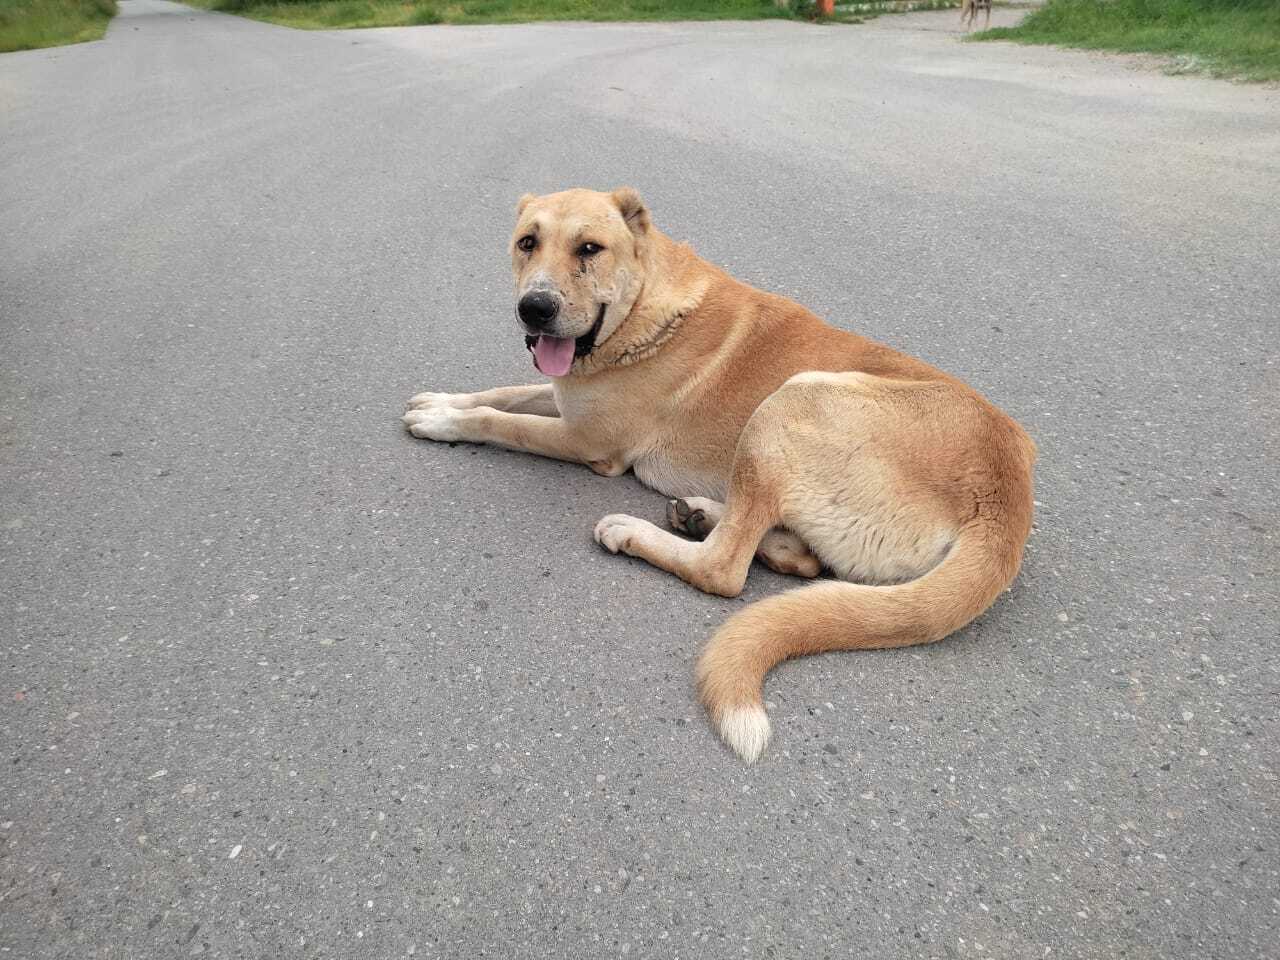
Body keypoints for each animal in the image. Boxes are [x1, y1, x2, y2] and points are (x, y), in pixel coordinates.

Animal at [404, 188, 1034, 762]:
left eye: (589, 249)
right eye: (527, 243)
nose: (534, 308)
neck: (644, 309)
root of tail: (1007, 496)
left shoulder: (586, 440)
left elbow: (499, 420)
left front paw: (444, 422)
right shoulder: (566, 400)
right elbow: (502, 392)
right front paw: (442, 400)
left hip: (790, 402)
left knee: (724, 569)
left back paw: (638, 531)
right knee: (796, 558)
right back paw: (702, 513)